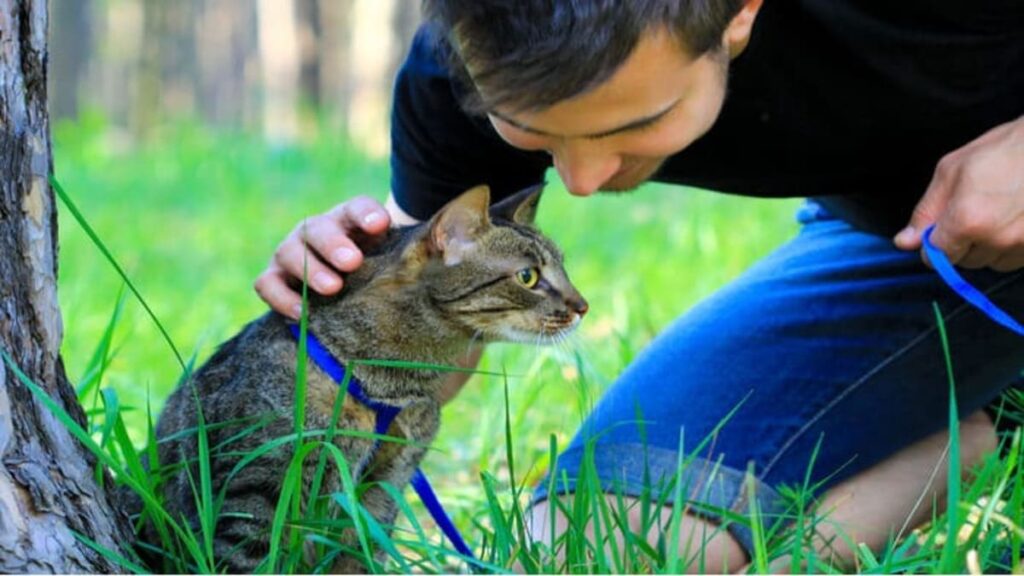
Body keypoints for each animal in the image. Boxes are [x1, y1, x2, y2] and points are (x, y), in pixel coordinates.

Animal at [141, 183, 589, 569]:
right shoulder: (255, 492)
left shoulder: (383, 490)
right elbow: (248, 560)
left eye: (565, 270)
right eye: (528, 276)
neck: (392, 385)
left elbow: (359, 559)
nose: (583, 305)